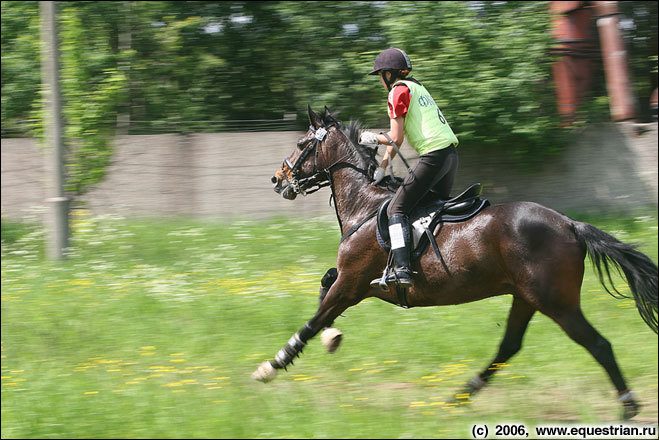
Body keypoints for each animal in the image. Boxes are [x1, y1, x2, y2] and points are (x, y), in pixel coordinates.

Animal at [254, 105, 659, 420]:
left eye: (302, 144)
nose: (277, 179)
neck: (365, 206)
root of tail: (571, 224)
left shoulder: (353, 283)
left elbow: (313, 319)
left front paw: (271, 366)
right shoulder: (352, 283)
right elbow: (323, 288)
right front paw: (332, 337)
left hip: (555, 302)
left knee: (598, 344)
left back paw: (628, 407)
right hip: (526, 298)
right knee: (509, 346)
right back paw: (462, 394)